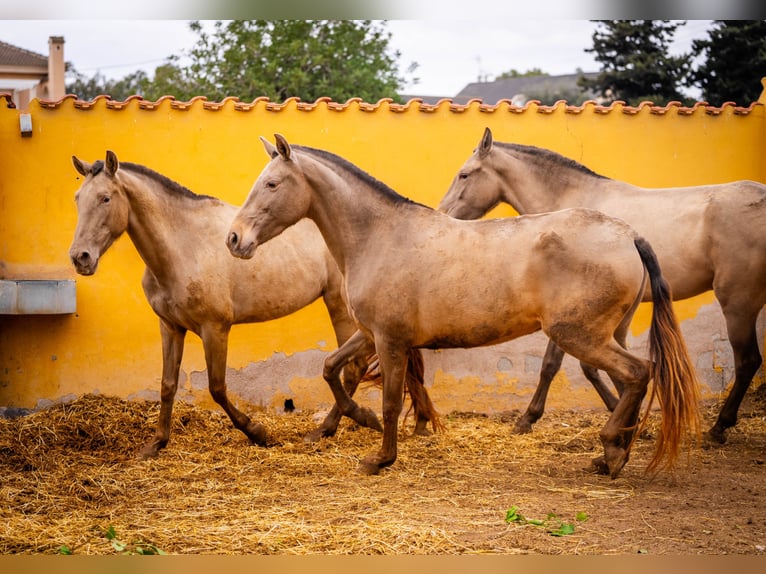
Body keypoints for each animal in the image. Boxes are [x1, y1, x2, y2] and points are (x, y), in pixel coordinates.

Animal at [68, 151, 439, 459]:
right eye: (77, 198)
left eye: (105, 198)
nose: (80, 257)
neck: (182, 247)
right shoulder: (170, 327)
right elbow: (167, 385)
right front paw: (156, 444)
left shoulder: (215, 328)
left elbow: (217, 387)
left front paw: (259, 433)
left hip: (340, 307)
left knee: (354, 366)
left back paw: (333, 427)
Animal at [226, 134, 701, 479]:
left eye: (272, 184)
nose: (234, 239)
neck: (379, 235)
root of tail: (628, 235)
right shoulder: (369, 333)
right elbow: (330, 368)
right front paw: (355, 419)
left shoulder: (389, 340)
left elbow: (391, 401)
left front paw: (380, 458)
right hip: (608, 333)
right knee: (633, 379)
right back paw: (616, 450)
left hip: (579, 335)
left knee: (637, 373)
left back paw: (612, 451)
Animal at [438, 127, 766, 442]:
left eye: (464, 174)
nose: (443, 214)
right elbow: (588, 367)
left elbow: (555, 365)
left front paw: (528, 418)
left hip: (738, 304)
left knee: (748, 360)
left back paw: (720, 427)